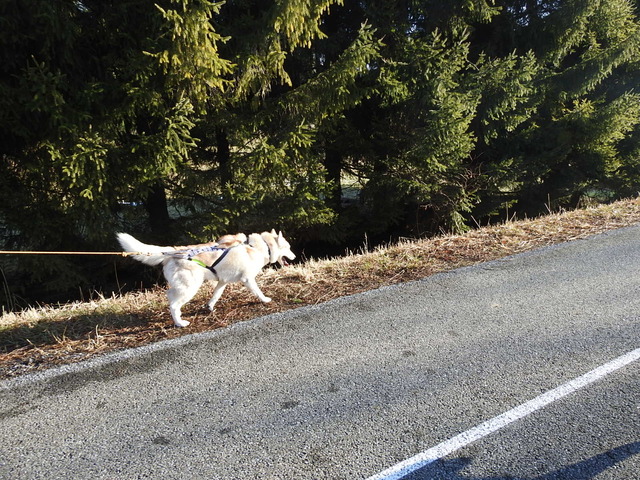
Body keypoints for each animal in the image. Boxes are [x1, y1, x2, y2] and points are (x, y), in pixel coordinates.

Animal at [116, 229, 296, 326]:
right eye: (288, 247)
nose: (294, 257)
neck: (261, 247)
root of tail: (173, 251)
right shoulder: (248, 279)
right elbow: (258, 292)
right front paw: (265, 300)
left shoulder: (222, 281)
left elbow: (215, 295)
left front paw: (209, 307)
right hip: (190, 287)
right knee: (173, 304)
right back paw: (179, 322)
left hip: (184, 286)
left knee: (170, 296)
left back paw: (179, 316)